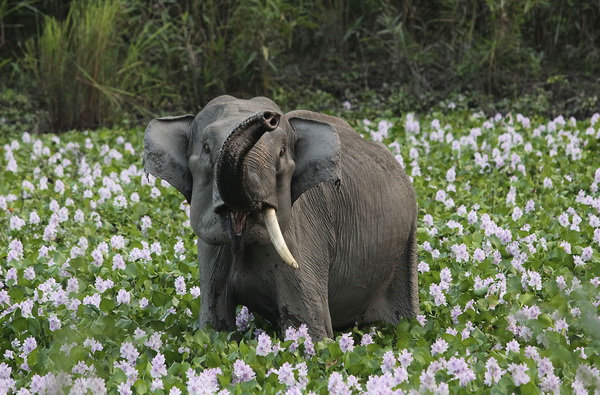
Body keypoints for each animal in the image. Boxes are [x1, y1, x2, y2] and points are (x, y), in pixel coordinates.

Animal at [145, 95, 418, 340]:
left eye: (282, 152)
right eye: (206, 148)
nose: (269, 118)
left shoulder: (304, 234)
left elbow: (310, 331)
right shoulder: (211, 254)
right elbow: (215, 330)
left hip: (407, 242)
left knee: (404, 319)